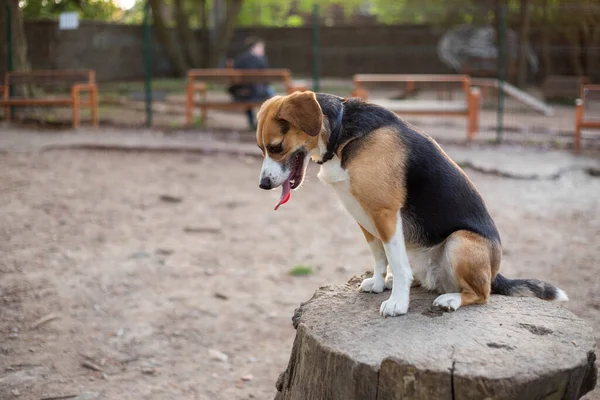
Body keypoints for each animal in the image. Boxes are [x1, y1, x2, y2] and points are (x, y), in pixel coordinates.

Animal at [254, 92, 568, 318]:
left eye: (276, 147)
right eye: (261, 149)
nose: (263, 185)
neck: (340, 134)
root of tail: (495, 272)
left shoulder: (384, 213)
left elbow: (394, 259)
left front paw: (398, 304)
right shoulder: (363, 215)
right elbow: (380, 257)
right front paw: (379, 283)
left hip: (461, 242)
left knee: (482, 294)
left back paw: (450, 299)